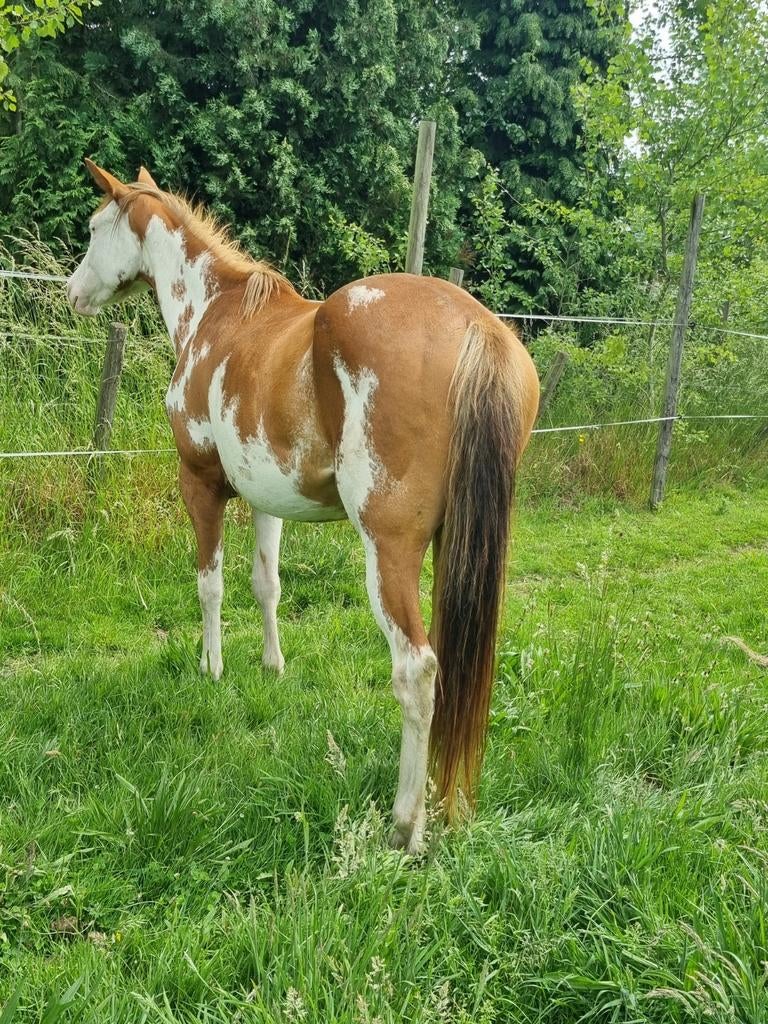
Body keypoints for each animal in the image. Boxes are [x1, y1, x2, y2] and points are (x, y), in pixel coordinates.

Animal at [67, 159, 540, 853]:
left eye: (96, 228)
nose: (74, 292)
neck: (215, 314)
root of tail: (478, 328)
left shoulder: (199, 483)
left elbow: (210, 584)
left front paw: (211, 669)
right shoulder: (265, 496)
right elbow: (267, 584)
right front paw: (272, 667)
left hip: (389, 551)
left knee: (417, 668)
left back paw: (406, 826)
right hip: (459, 550)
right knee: (453, 667)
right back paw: (444, 807)